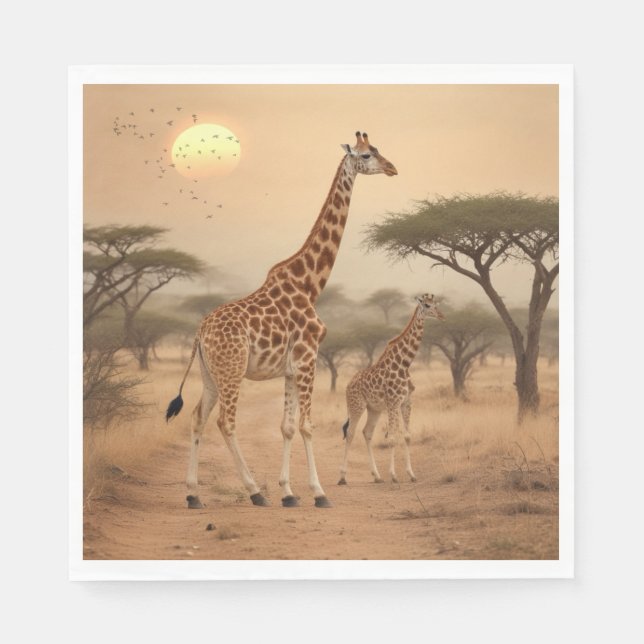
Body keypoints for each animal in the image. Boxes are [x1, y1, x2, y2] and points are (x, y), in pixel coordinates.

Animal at [166, 131, 398, 509]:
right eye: (366, 155)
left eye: (378, 150)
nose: (393, 168)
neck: (311, 285)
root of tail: (200, 332)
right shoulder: (307, 359)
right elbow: (306, 425)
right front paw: (318, 493)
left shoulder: (291, 368)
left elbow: (287, 427)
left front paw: (289, 492)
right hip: (232, 370)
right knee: (225, 422)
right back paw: (254, 491)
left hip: (210, 373)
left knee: (198, 417)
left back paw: (193, 494)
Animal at [338, 294, 444, 486]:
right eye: (427, 305)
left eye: (437, 304)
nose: (441, 315)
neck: (404, 364)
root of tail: (348, 384)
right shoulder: (393, 402)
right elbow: (393, 437)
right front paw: (394, 475)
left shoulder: (406, 402)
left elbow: (407, 436)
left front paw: (411, 474)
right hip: (356, 405)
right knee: (350, 433)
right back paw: (342, 477)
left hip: (374, 409)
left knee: (367, 432)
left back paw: (377, 476)